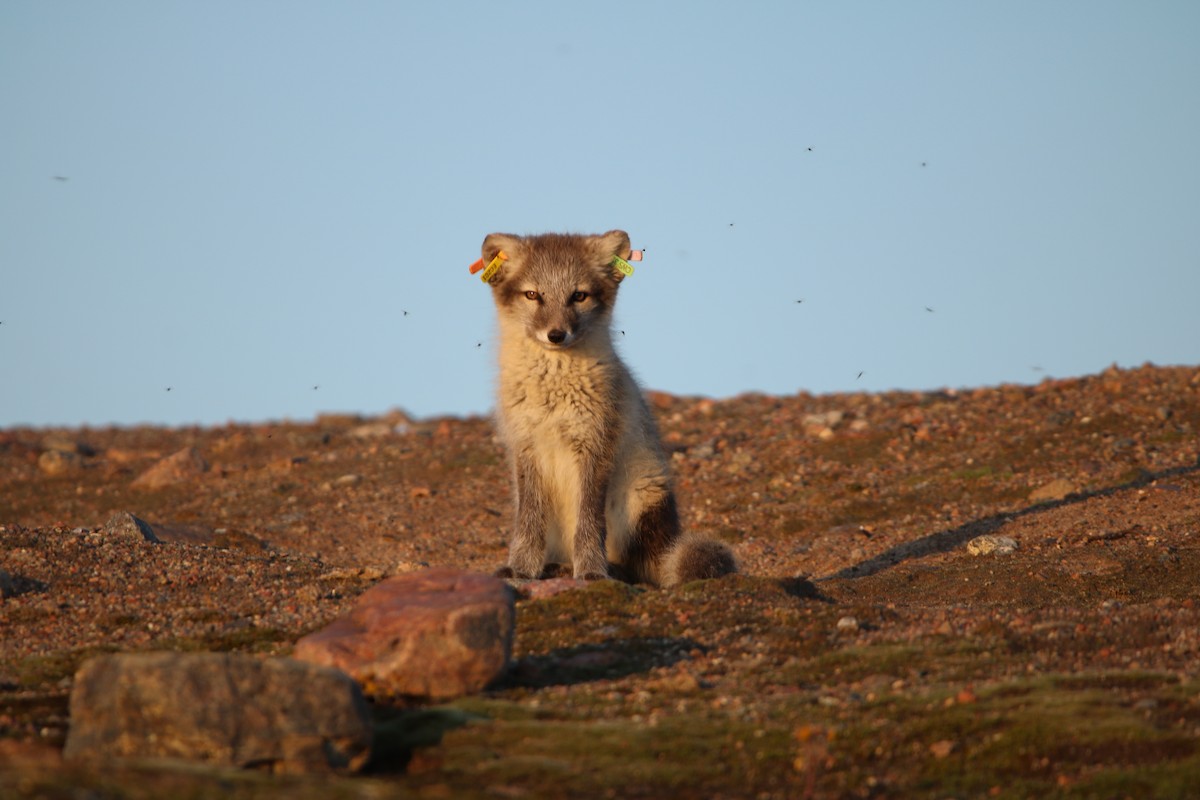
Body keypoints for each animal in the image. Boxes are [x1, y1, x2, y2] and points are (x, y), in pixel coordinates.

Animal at [478, 229, 737, 587]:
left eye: (578, 296)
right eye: (532, 295)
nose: (556, 335)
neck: (553, 391)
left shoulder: (596, 444)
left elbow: (589, 523)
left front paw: (590, 570)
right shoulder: (525, 446)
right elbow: (528, 522)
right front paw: (521, 568)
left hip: (641, 501)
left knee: (637, 568)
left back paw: (609, 569)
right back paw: (557, 567)